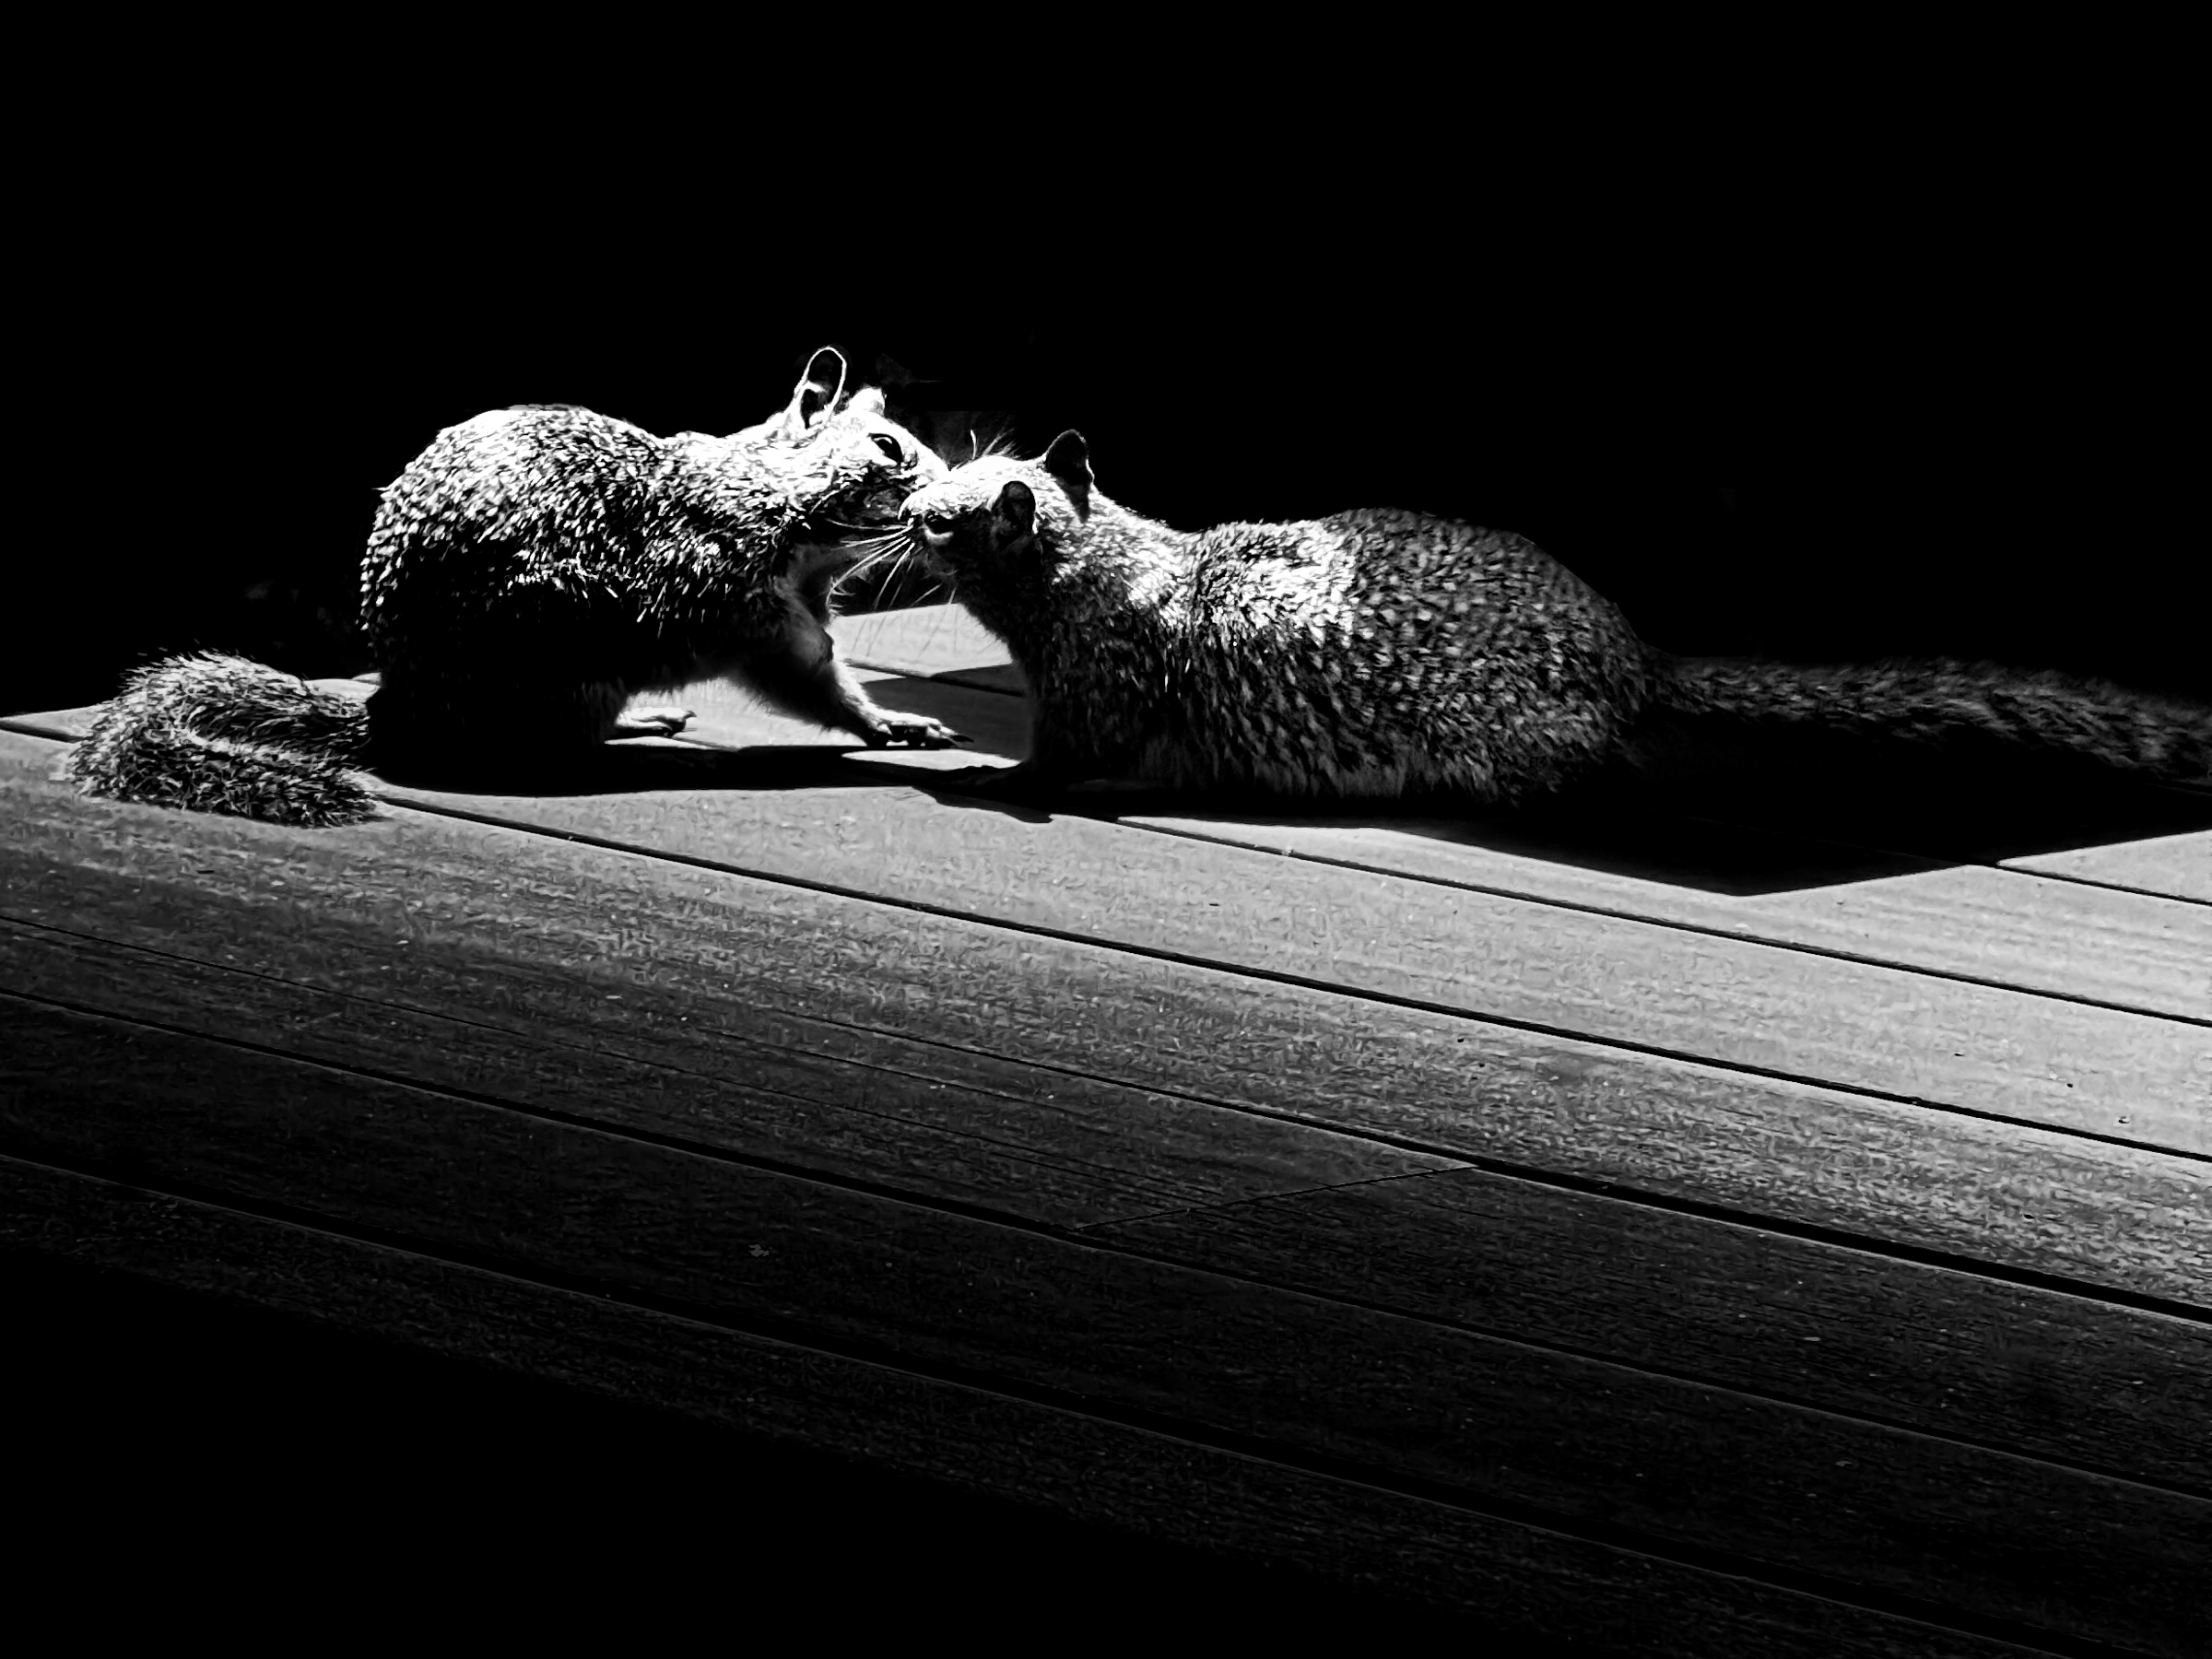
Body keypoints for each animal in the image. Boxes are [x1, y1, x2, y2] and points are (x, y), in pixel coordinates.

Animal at [68, 348, 966, 826]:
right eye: (889, 447)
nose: (941, 505)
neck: (766, 491)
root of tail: (403, 705)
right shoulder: (747, 603)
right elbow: (804, 678)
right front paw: (889, 724)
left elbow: (825, 672)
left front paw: (892, 720)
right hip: (569, 661)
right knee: (553, 746)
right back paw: (634, 729)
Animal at [894, 432, 2212, 805]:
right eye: (949, 475)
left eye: (951, 521)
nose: (905, 505)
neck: (1107, 557)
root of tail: (1637, 658)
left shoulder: (1090, 690)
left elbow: (1068, 754)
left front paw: (988, 774)